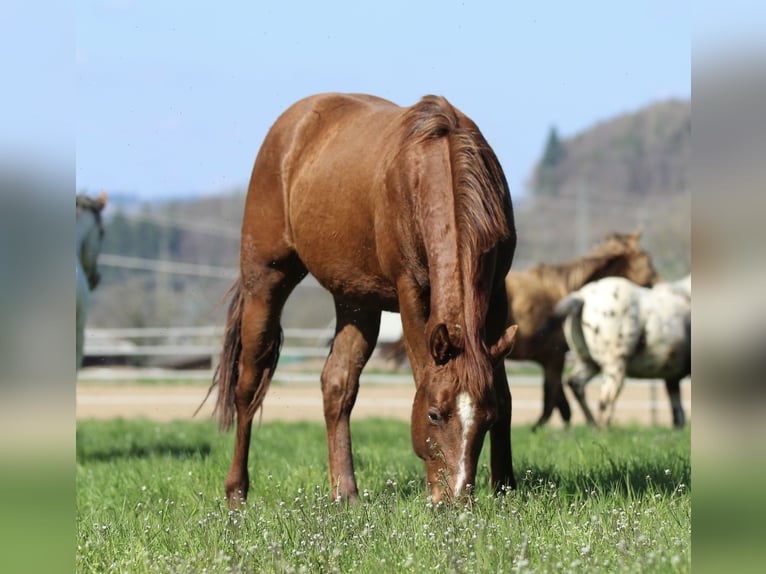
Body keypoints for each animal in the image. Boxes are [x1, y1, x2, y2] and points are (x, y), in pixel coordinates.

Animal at [210, 93, 519, 507]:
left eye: (485, 419)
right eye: (434, 414)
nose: (453, 500)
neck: (437, 166)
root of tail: (293, 123)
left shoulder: (497, 293)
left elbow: (504, 393)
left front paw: (506, 489)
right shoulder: (411, 292)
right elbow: (421, 372)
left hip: (356, 302)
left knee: (337, 385)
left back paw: (345, 494)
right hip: (265, 281)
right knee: (249, 386)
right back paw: (237, 493)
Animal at [504, 231, 659, 430]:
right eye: (648, 259)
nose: (658, 284)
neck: (566, 290)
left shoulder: (551, 360)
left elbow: (560, 405)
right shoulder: (555, 359)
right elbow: (553, 403)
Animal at [553, 275, 691, 428]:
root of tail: (582, 296)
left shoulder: (672, 377)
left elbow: (678, 415)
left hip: (588, 362)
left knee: (576, 383)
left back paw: (592, 424)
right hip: (615, 366)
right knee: (605, 399)